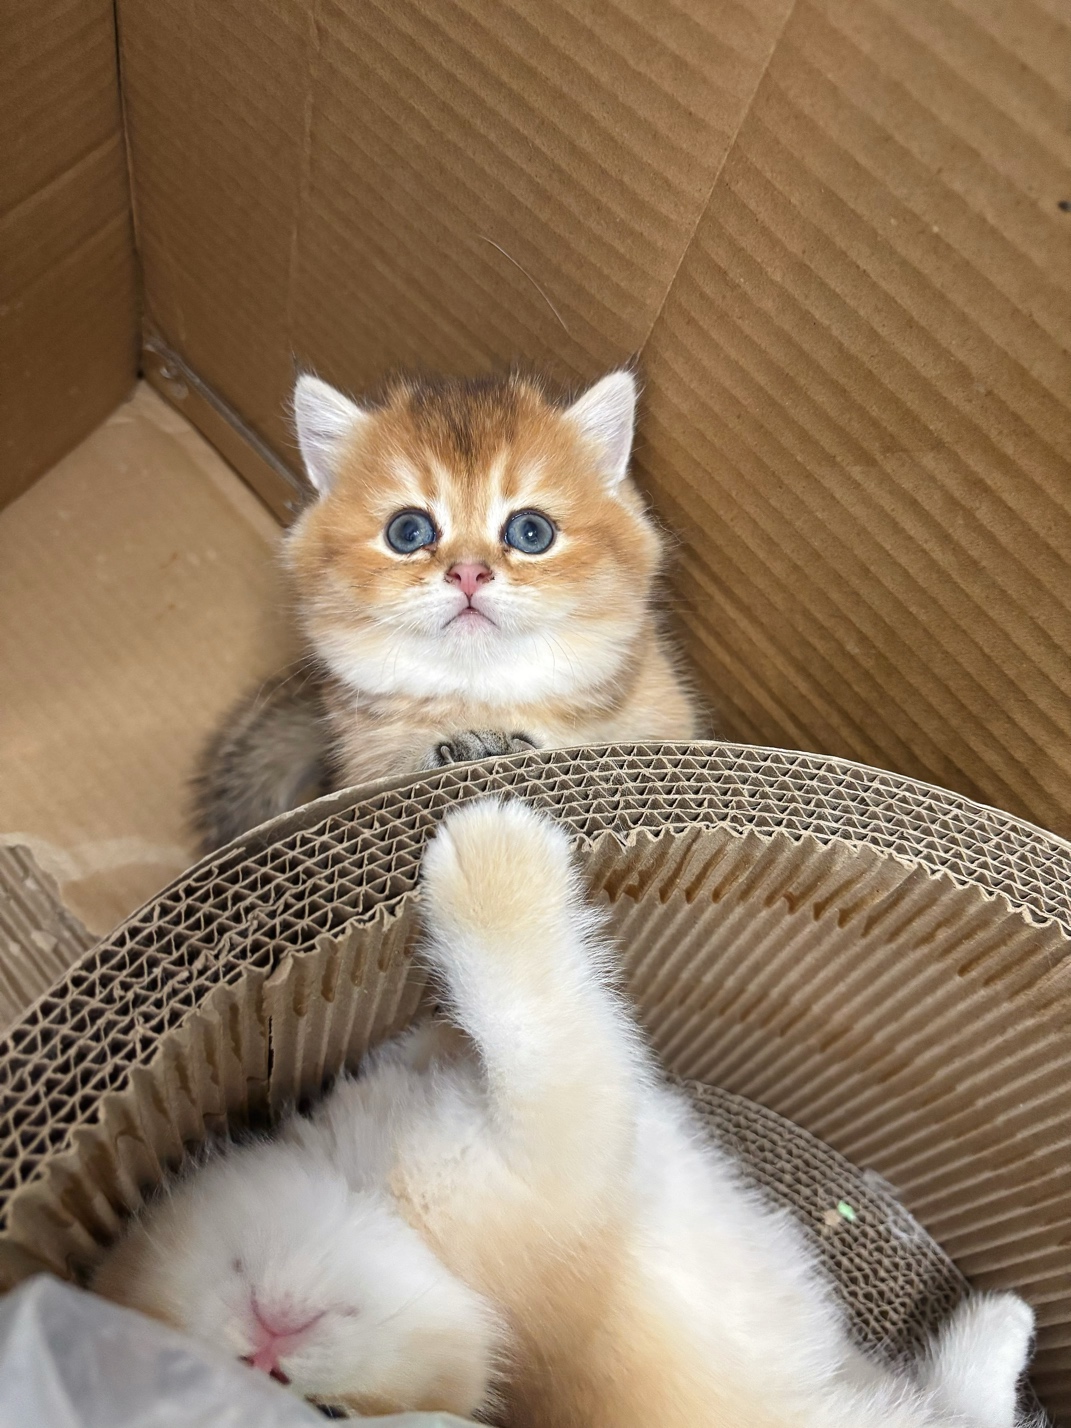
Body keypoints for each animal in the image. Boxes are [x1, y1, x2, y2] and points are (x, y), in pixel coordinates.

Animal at [95, 799, 1041, 1427]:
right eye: (334, 1417)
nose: (264, 1357)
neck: (390, 1212)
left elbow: (469, 1040)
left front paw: (434, 1031)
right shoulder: (558, 1156)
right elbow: (539, 1026)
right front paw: (497, 864)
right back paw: (998, 1326)